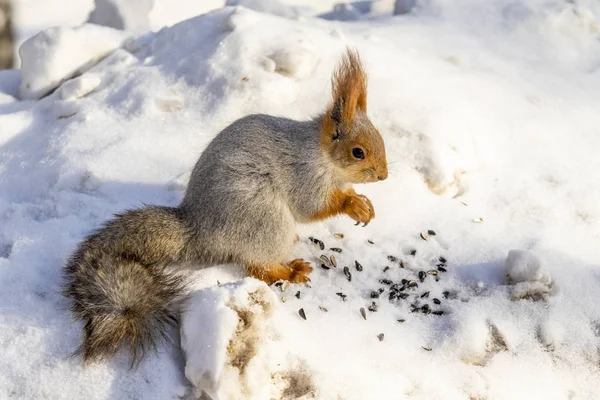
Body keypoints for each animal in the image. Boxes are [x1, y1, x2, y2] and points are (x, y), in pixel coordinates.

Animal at [62, 48, 390, 364]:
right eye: (358, 152)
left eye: (381, 141)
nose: (384, 176)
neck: (323, 156)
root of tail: (198, 230)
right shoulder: (305, 176)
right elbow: (312, 206)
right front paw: (352, 204)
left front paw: (366, 204)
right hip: (265, 218)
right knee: (258, 267)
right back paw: (290, 271)